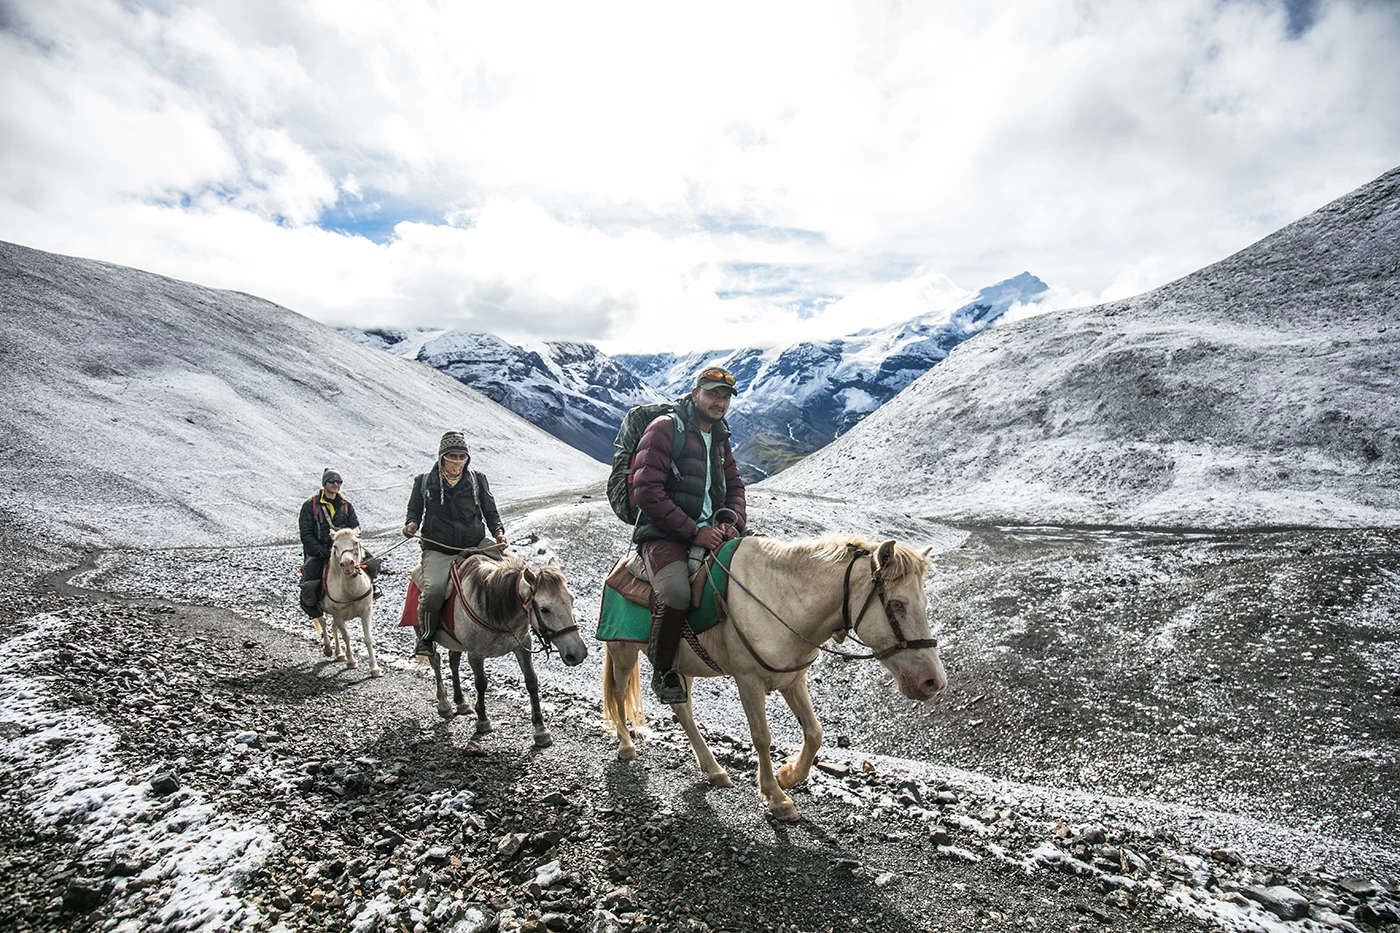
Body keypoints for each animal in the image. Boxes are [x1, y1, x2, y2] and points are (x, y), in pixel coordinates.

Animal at [313, 526, 383, 672]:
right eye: (335, 546)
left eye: (356, 542)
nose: (347, 564)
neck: (351, 592)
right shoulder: (338, 615)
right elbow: (346, 636)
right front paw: (351, 661)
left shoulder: (366, 611)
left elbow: (368, 638)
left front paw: (374, 668)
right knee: (323, 622)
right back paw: (328, 648)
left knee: (333, 626)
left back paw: (339, 654)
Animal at [420, 554, 585, 745]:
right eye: (544, 609)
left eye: (571, 600)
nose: (578, 653)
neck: (494, 606)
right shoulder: (475, 654)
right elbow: (481, 684)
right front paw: (483, 721)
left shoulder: (522, 645)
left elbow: (531, 681)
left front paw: (541, 730)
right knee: (435, 660)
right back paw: (444, 704)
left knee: (453, 661)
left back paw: (461, 702)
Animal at [596, 535, 946, 818]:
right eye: (897, 604)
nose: (933, 682)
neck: (782, 600)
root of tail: (619, 565)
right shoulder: (748, 680)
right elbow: (762, 736)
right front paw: (777, 798)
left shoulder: (792, 681)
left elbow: (814, 733)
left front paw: (787, 775)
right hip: (623, 651)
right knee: (618, 693)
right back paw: (626, 746)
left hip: (682, 667)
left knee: (683, 712)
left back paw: (714, 771)